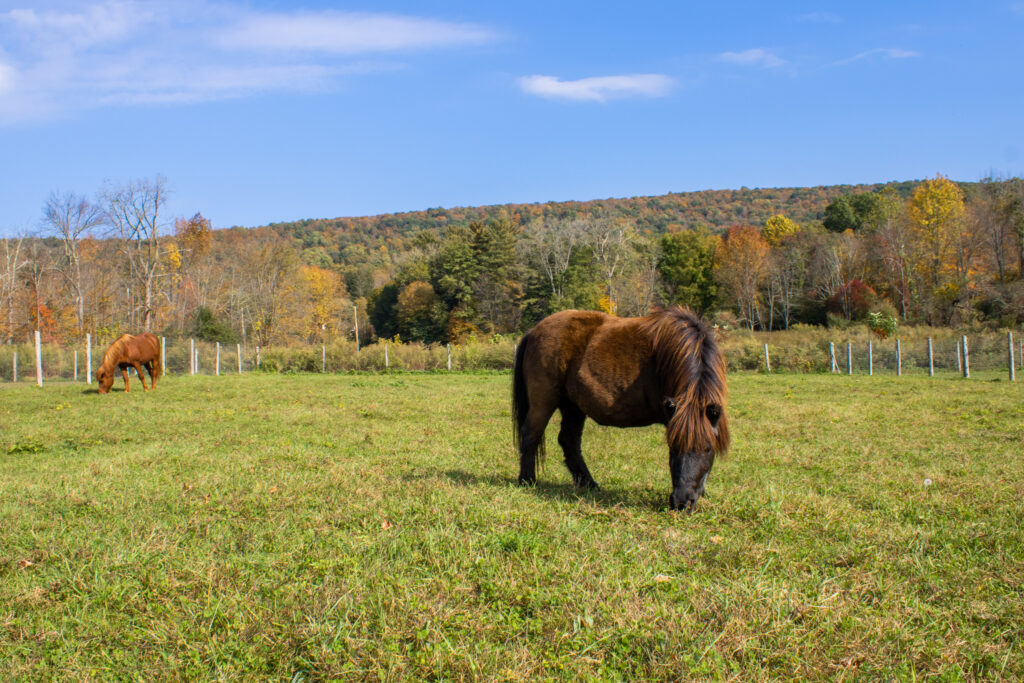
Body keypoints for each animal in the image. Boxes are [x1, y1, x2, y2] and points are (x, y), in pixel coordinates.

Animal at [512, 307, 729, 512]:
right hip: (543, 402)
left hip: (573, 406)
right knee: (531, 435)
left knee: (569, 441)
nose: (681, 503)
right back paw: (527, 480)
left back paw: (588, 483)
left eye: (707, 448)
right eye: (673, 447)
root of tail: (533, 332)